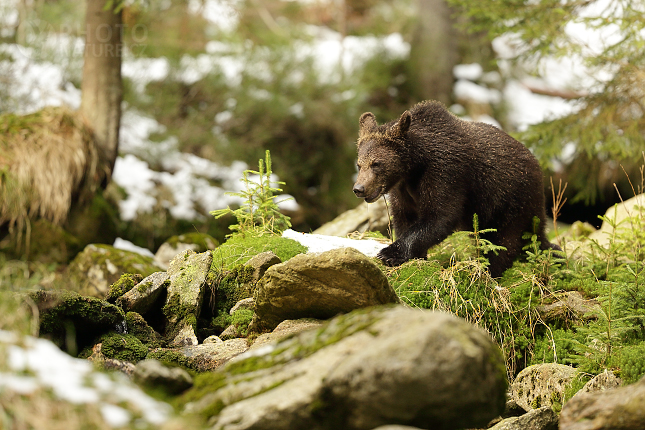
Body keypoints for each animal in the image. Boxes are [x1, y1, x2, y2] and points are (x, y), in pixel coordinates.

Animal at [352, 99, 560, 278]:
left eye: (376, 163)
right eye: (359, 164)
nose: (359, 188)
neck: (415, 166)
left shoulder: (447, 172)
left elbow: (441, 217)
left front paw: (389, 253)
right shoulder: (403, 189)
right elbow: (404, 218)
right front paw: (413, 255)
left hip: (512, 202)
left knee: (505, 243)